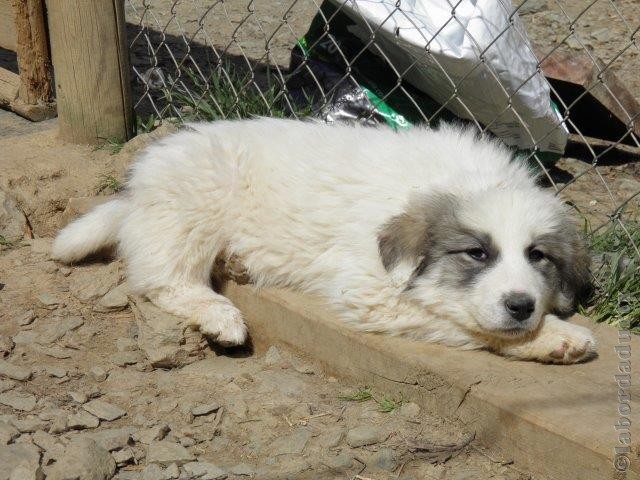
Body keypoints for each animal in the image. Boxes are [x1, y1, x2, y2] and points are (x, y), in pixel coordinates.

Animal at [52, 119, 596, 364]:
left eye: (538, 256)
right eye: (477, 253)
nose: (522, 305)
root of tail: (140, 185)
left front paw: (547, 330)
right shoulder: (370, 291)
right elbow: (461, 318)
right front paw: (555, 337)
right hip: (194, 206)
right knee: (163, 279)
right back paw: (220, 314)